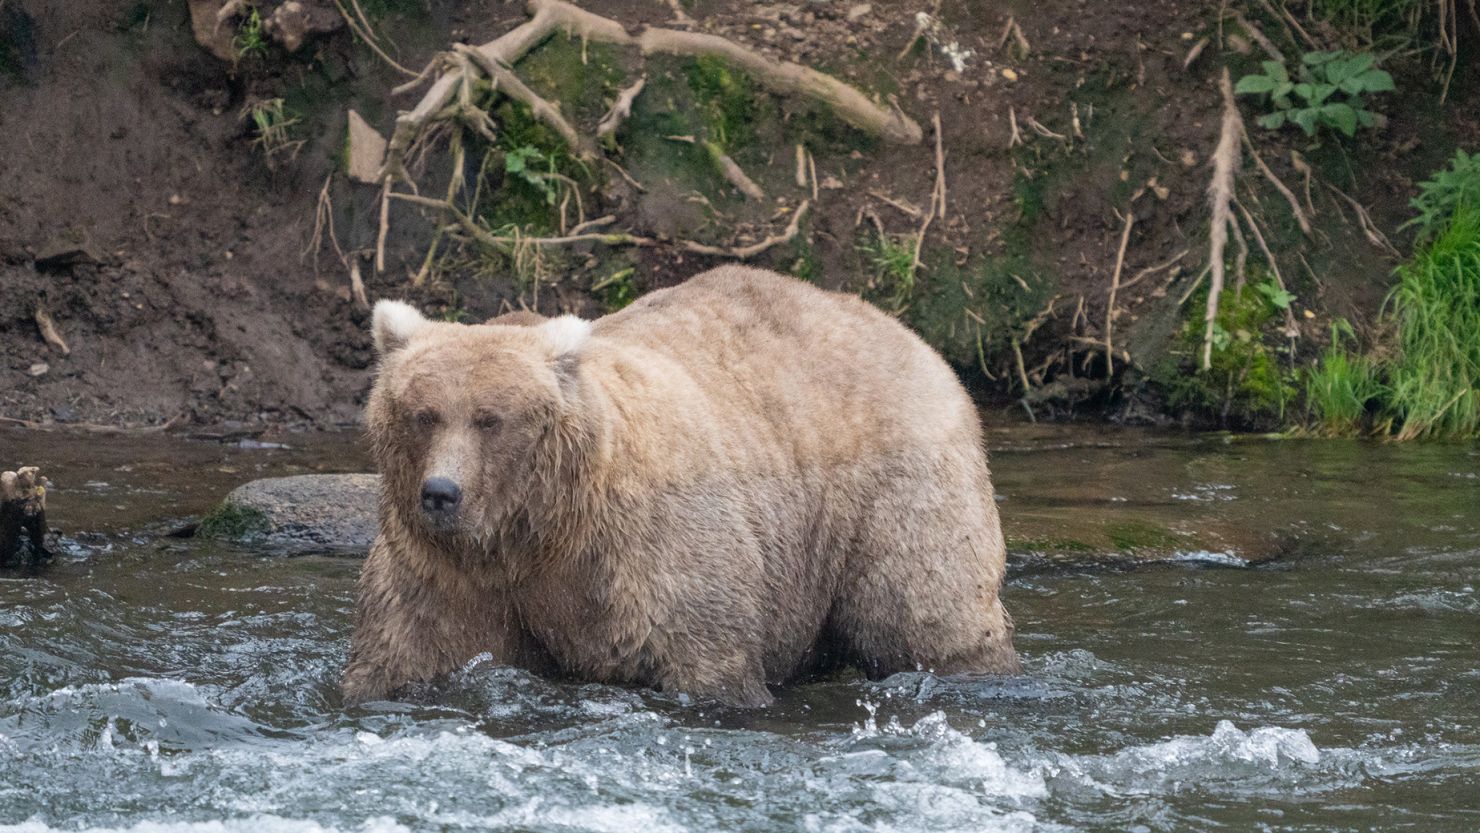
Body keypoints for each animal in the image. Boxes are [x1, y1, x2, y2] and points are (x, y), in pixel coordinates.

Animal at [343, 266, 1018, 704]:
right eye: (423, 414)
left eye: (490, 418)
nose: (441, 493)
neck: (538, 530)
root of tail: (908, 334)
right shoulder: (446, 572)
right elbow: (408, 651)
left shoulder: (648, 551)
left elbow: (704, 656)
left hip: (893, 488)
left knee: (925, 611)